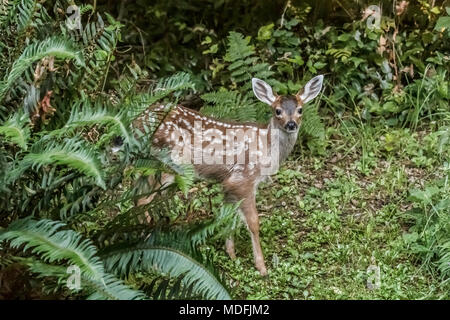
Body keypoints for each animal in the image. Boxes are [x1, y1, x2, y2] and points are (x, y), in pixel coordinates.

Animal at [132, 74, 326, 276]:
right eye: (277, 111)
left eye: (300, 109)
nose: (291, 124)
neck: (266, 147)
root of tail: (136, 121)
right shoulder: (244, 178)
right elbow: (253, 222)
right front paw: (262, 267)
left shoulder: (229, 182)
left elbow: (229, 215)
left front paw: (231, 254)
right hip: (166, 164)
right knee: (143, 201)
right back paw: (150, 257)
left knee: (136, 196)